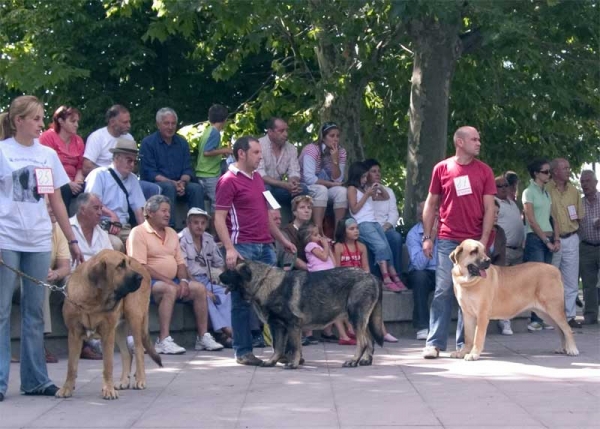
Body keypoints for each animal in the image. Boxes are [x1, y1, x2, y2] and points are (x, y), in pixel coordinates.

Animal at [55, 249, 162, 400]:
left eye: (128, 263)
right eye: (120, 265)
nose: (140, 278)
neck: (92, 300)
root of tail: (144, 268)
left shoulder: (107, 333)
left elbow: (108, 365)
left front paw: (108, 390)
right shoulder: (74, 334)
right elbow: (71, 365)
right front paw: (67, 388)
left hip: (133, 317)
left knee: (139, 350)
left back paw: (140, 380)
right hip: (118, 328)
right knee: (127, 354)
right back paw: (123, 381)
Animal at [220, 260, 384, 368]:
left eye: (230, 270)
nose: (219, 276)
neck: (263, 282)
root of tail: (372, 277)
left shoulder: (291, 325)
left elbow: (292, 346)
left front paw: (293, 363)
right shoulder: (280, 327)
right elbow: (279, 347)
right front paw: (273, 361)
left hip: (355, 317)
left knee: (363, 342)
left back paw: (353, 361)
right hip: (360, 320)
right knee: (369, 340)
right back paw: (366, 360)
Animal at [448, 239, 580, 360]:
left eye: (483, 250)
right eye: (474, 251)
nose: (488, 261)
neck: (467, 281)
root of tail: (556, 270)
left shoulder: (482, 314)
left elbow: (477, 337)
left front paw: (474, 354)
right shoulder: (467, 314)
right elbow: (468, 337)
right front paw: (463, 352)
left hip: (554, 309)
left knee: (567, 329)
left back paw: (572, 349)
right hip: (545, 314)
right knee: (561, 330)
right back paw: (562, 348)